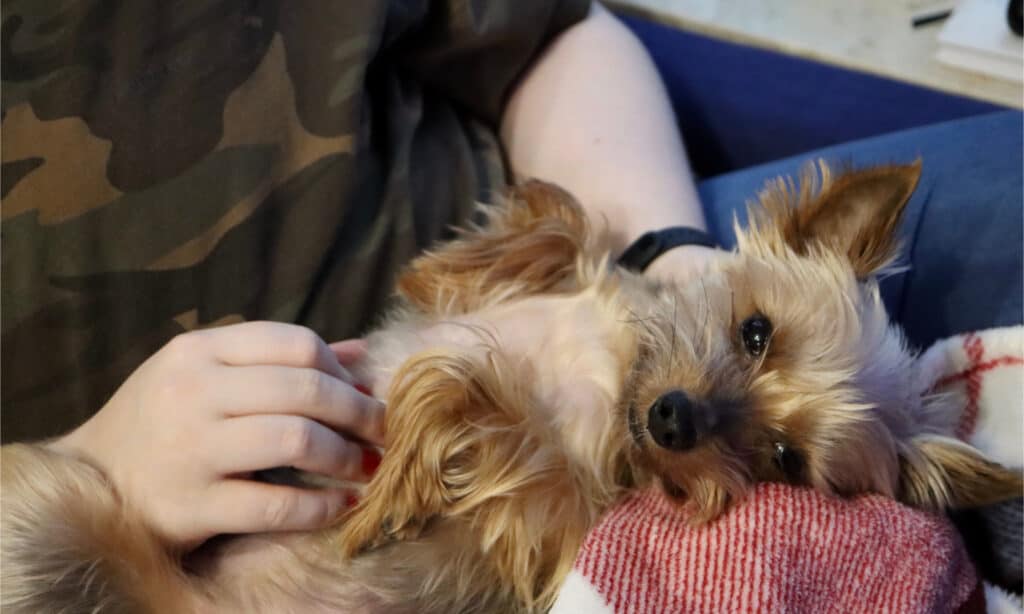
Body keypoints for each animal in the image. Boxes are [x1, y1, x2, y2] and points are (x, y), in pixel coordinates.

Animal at [4, 160, 1019, 609]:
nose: (675, 420)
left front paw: (391, 489)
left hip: (43, 512)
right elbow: (561, 219)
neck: (606, 369)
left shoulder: (546, 516)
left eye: (783, 457)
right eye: (755, 330)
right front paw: (450, 266)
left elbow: (463, 396)